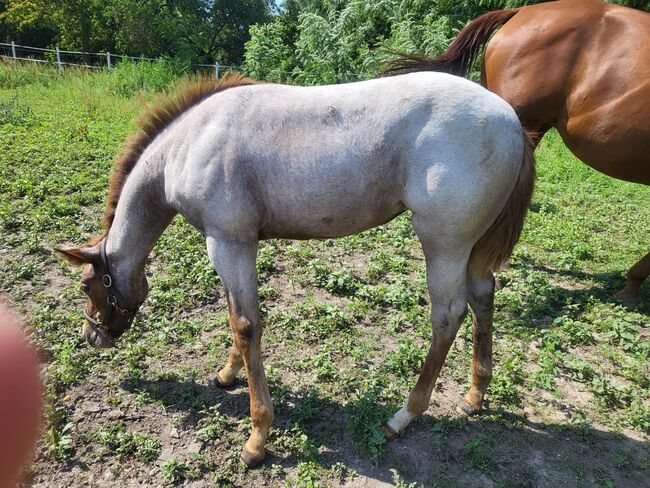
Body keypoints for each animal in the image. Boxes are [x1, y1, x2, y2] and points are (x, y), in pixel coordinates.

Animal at [57, 71, 532, 466]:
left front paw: (256, 440)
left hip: (445, 244)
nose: (91, 336)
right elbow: (235, 318)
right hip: (471, 247)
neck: (188, 144)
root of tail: (510, 118)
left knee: (447, 316)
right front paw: (227, 375)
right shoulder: (228, 246)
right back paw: (475, 394)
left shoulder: (229, 242)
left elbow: (246, 325)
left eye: (86, 286)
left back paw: (405, 415)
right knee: (483, 294)